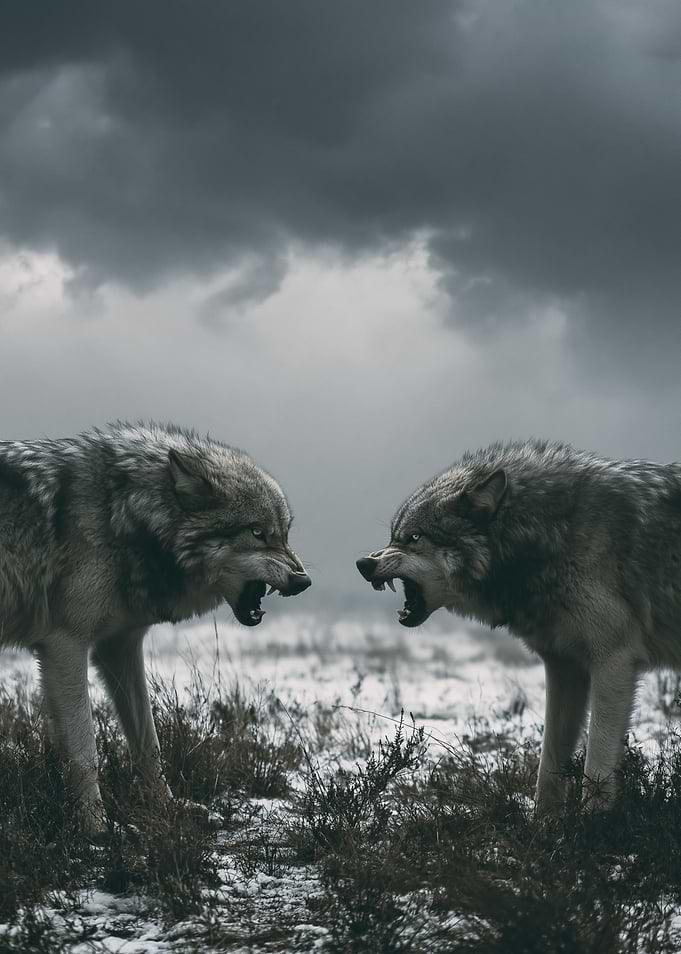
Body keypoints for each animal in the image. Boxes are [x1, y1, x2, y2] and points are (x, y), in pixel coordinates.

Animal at [0, 421, 311, 833]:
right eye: (257, 533)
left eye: (284, 534)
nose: (303, 581)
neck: (123, 514)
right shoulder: (64, 645)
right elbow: (85, 752)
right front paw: (97, 829)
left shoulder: (119, 646)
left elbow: (149, 744)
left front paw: (166, 807)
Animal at [357, 438, 681, 812]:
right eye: (394, 537)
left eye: (413, 537)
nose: (363, 563)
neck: (549, 534)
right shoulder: (565, 667)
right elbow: (549, 768)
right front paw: (546, 824)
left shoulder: (614, 662)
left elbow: (596, 769)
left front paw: (594, 825)